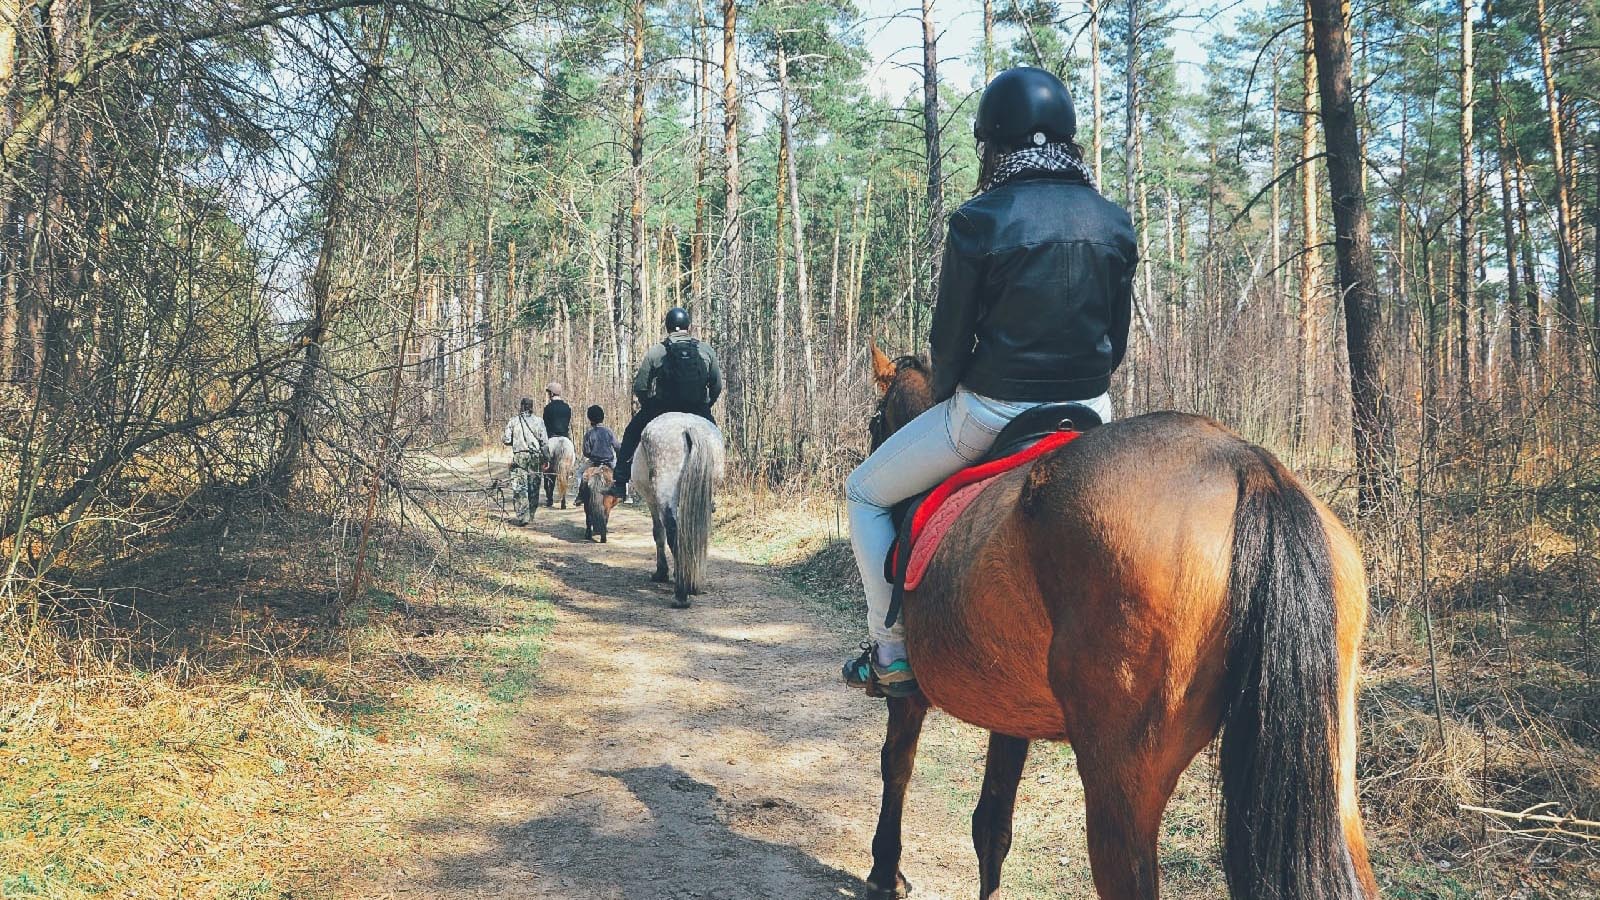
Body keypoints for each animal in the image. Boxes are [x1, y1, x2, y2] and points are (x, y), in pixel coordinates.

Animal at [864, 344, 1376, 896]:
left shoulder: (910, 695)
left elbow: (896, 765)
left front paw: (885, 874)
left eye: (875, 422)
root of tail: (1247, 465)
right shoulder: (1011, 710)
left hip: (1120, 787)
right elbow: (992, 824)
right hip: (1334, 784)